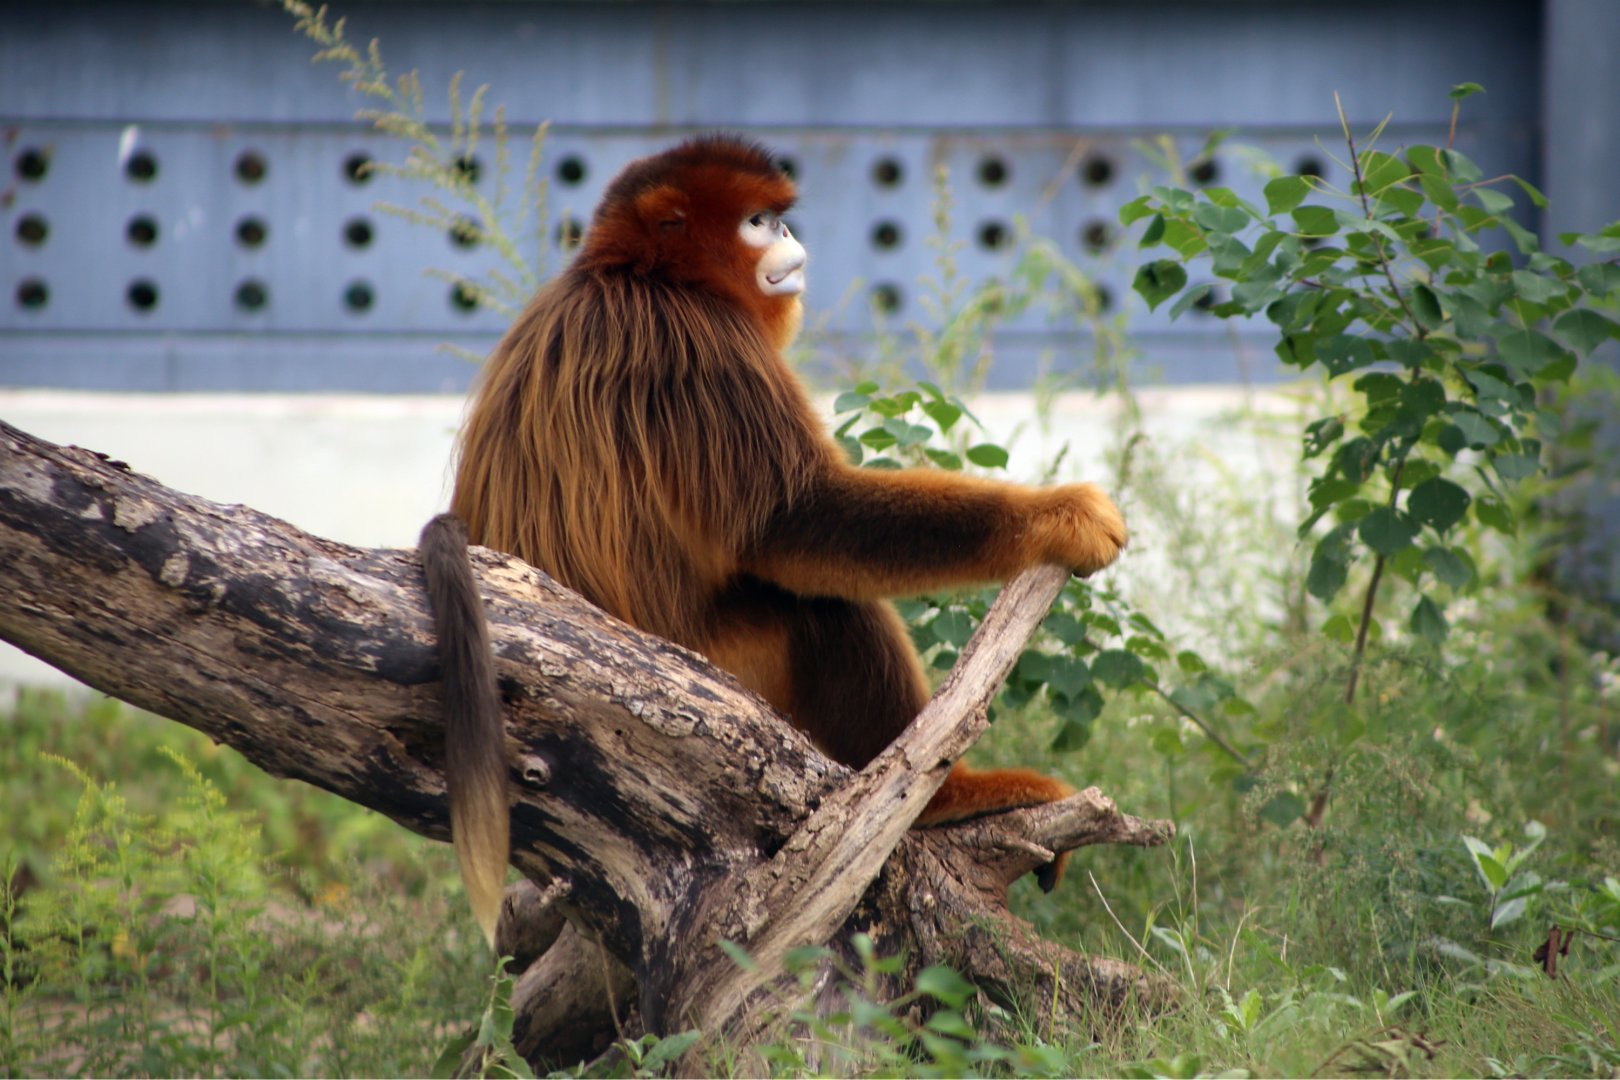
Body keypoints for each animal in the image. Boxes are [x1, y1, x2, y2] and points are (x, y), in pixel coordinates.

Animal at [420, 135, 1126, 941]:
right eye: (758, 221)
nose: (789, 236)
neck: (640, 275)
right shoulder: (699, 343)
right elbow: (799, 521)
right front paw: (1060, 516)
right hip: (720, 678)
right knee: (820, 607)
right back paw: (946, 801)